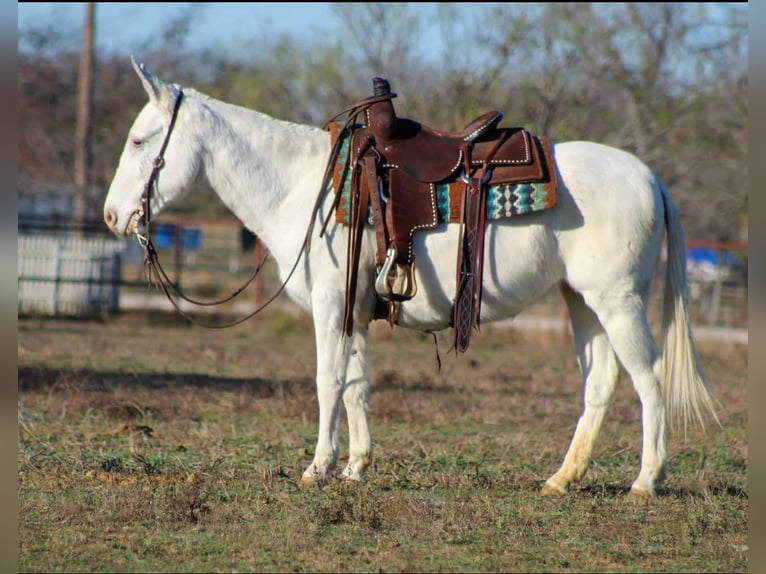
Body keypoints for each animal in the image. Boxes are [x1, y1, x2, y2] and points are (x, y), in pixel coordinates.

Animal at [103, 59, 720, 500]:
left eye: (138, 140)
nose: (112, 216)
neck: (304, 186)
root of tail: (649, 177)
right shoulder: (353, 311)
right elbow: (357, 385)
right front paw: (356, 468)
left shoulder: (331, 306)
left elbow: (328, 382)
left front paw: (318, 467)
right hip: (582, 303)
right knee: (601, 383)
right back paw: (561, 480)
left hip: (619, 301)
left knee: (649, 379)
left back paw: (646, 482)